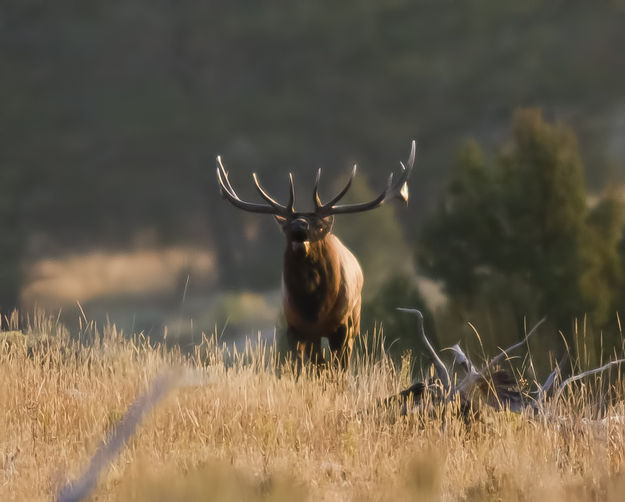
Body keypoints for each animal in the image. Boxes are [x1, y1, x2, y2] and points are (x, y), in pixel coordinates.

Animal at [214, 141, 414, 364]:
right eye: (286, 227)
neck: (315, 309)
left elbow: (337, 365)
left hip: (355, 320)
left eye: (318, 225)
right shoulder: (294, 327)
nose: (298, 227)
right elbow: (302, 365)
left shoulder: (342, 327)